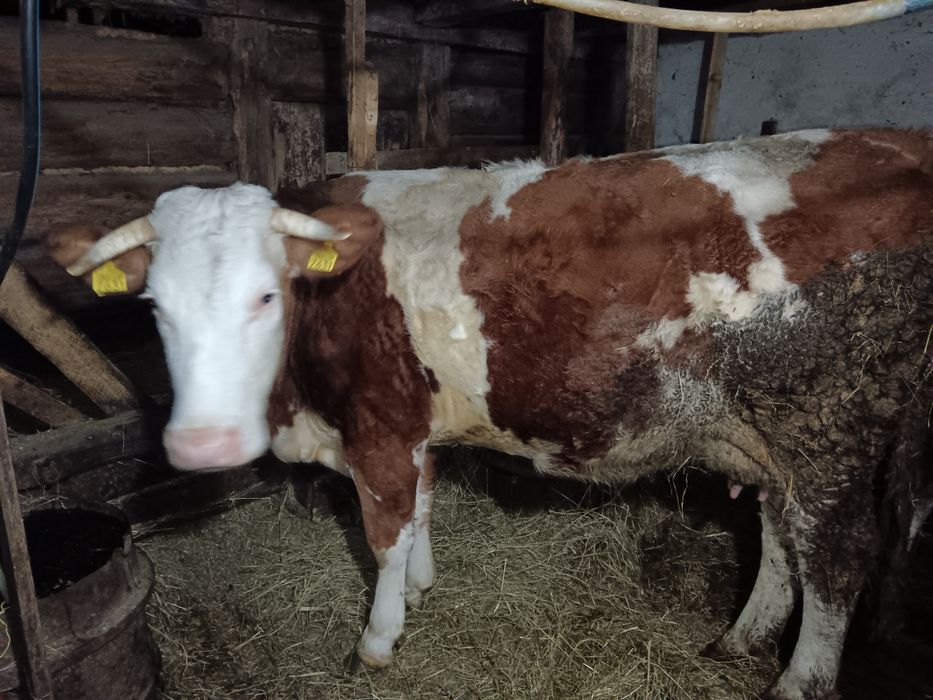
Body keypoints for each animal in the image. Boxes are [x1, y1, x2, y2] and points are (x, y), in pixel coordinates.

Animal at [48, 128, 932, 700]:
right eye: (154, 307)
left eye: (266, 296)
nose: (202, 444)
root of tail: (890, 142)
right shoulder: (415, 429)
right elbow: (422, 509)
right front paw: (421, 589)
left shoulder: (379, 426)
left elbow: (384, 532)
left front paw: (378, 639)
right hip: (767, 437)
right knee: (780, 536)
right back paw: (740, 636)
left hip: (827, 428)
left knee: (835, 558)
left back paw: (797, 681)